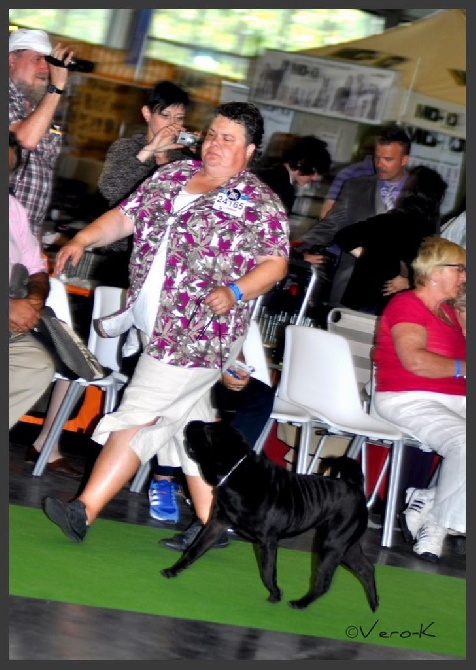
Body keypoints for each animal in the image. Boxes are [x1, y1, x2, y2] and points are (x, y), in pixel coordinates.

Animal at [162, 426, 378, 616]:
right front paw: (173, 570)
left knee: (323, 582)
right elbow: (194, 550)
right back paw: (374, 604)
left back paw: (301, 603)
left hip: (332, 545)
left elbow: (267, 571)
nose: (192, 423)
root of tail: (355, 487)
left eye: (208, 430)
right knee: (366, 569)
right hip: (347, 547)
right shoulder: (216, 524)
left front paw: (275, 593)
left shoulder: (267, 540)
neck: (237, 474)